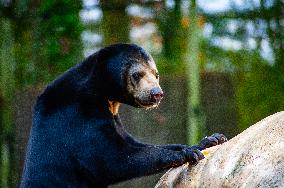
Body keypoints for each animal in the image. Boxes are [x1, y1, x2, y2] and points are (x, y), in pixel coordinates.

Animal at [21, 43, 227, 187]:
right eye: (137, 75)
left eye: (156, 74)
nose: (157, 93)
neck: (103, 94)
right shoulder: (80, 114)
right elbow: (111, 159)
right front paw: (187, 154)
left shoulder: (112, 117)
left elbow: (133, 143)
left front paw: (210, 140)